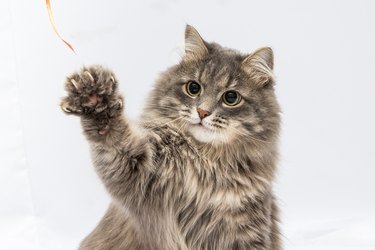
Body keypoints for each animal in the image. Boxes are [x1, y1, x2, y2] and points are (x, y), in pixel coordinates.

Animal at [60, 24, 282, 249]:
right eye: (193, 88)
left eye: (231, 97)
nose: (202, 112)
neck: (206, 161)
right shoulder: (136, 171)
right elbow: (113, 136)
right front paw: (94, 98)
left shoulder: (247, 230)